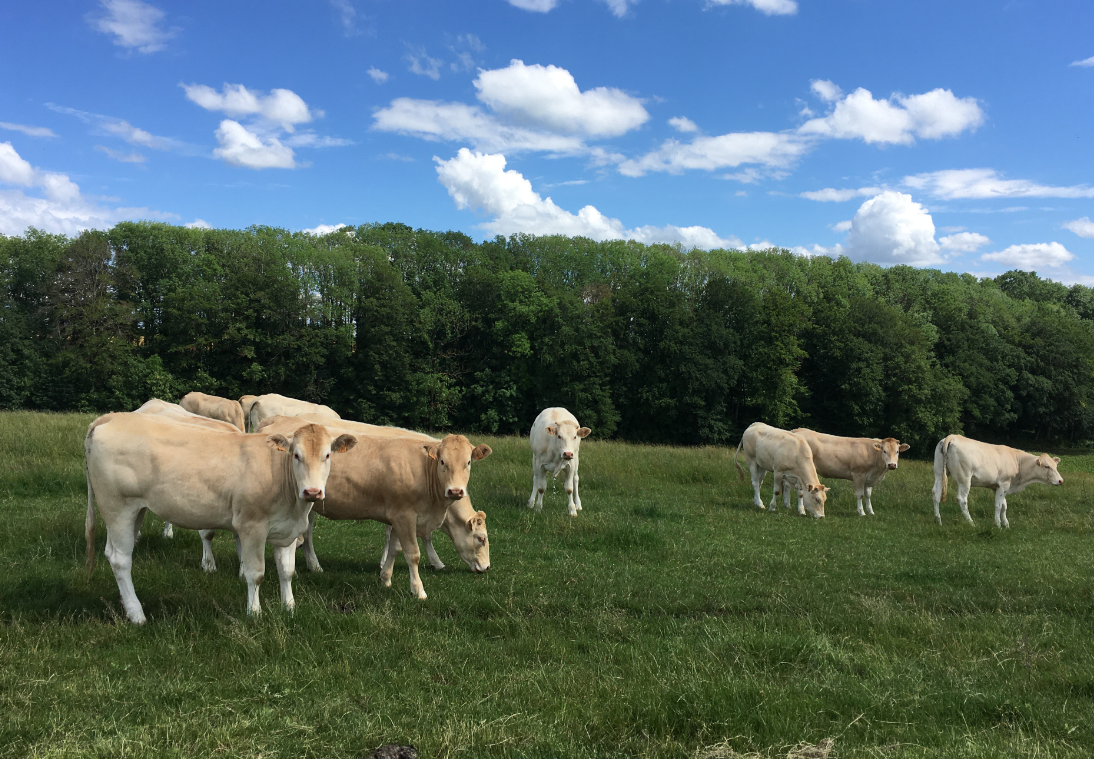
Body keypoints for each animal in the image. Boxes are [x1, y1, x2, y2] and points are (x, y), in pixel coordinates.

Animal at [88, 415, 358, 625]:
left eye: (327, 455)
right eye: (296, 455)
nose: (312, 492)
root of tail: (112, 417)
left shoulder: (288, 530)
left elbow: (287, 571)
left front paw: (289, 607)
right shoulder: (251, 527)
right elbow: (255, 573)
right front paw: (254, 613)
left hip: (137, 509)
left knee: (115, 552)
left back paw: (126, 606)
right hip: (118, 506)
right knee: (121, 559)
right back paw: (137, 614)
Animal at [255, 415, 487, 599]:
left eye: (468, 462)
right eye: (481, 539)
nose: (486, 567)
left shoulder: (398, 516)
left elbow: (395, 548)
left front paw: (385, 578)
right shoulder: (405, 516)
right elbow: (413, 552)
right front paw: (419, 589)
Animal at [778, 430, 914, 520]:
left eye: (897, 451)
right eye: (884, 451)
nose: (892, 465)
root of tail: (796, 430)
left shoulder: (869, 479)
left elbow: (868, 495)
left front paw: (871, 511)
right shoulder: (858, 475)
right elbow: (860, 495)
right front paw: (861, 512)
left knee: (787, 485)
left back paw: (787, 505)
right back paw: (800, 509)